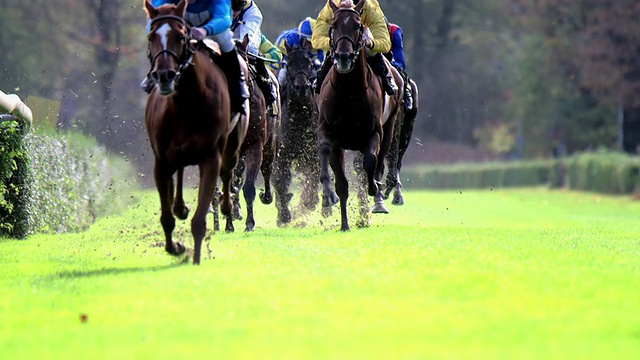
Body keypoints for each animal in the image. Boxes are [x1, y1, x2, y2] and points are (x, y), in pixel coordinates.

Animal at [144, 0, 249, 264]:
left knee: (228, 171)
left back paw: (226, 205)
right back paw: (181, 207)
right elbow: (166, 217)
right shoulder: (161, 161)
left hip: (233, 144)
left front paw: (197, 258)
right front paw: (175, 247)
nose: (164, 75)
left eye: (181, 36)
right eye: (151, 36)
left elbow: (200, 220)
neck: (186, 103)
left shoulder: (210, 156)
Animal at [274, 40, 320, 224]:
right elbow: (280, 180)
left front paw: (307, 204)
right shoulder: (282, 154)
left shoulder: (313, 155)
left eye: (309, 64)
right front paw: (284, 214)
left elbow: (313, 182)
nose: (301, 87)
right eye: (289, 64)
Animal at [316, 0, 402, 231]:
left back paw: (378, 196)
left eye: (358, 26)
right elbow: (330, 161)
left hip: (390, 127)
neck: (349, 91)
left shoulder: (374, 132)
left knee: (379, 162)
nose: (343, 58)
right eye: (333, 26)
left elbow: (370, 162)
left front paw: (374, 188)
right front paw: (329, 195)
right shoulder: (328, 131)